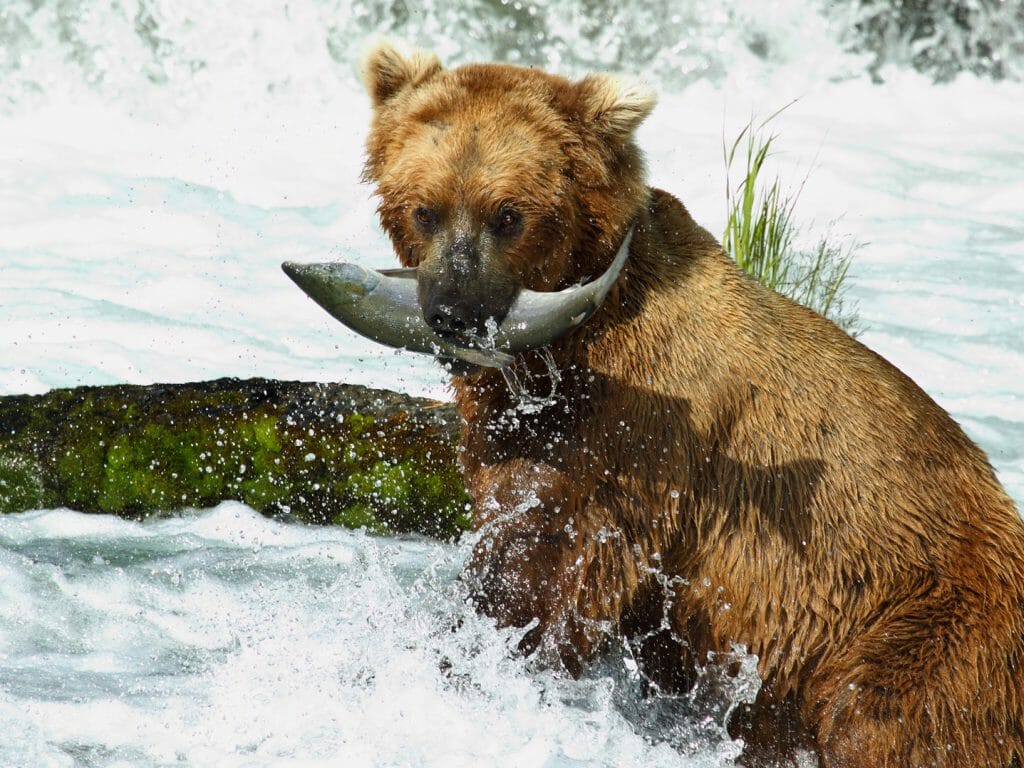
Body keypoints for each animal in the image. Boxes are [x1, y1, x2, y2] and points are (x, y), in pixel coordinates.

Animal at [359, 41, 1024, 767]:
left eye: (507, 214)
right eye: (426, 209)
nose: (452, 314)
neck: (568, 345)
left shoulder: (641, 428)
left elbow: (563, 559)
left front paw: (485, 661)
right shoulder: (519, 429)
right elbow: (514, 521)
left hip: (923, 621)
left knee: (889, 716)